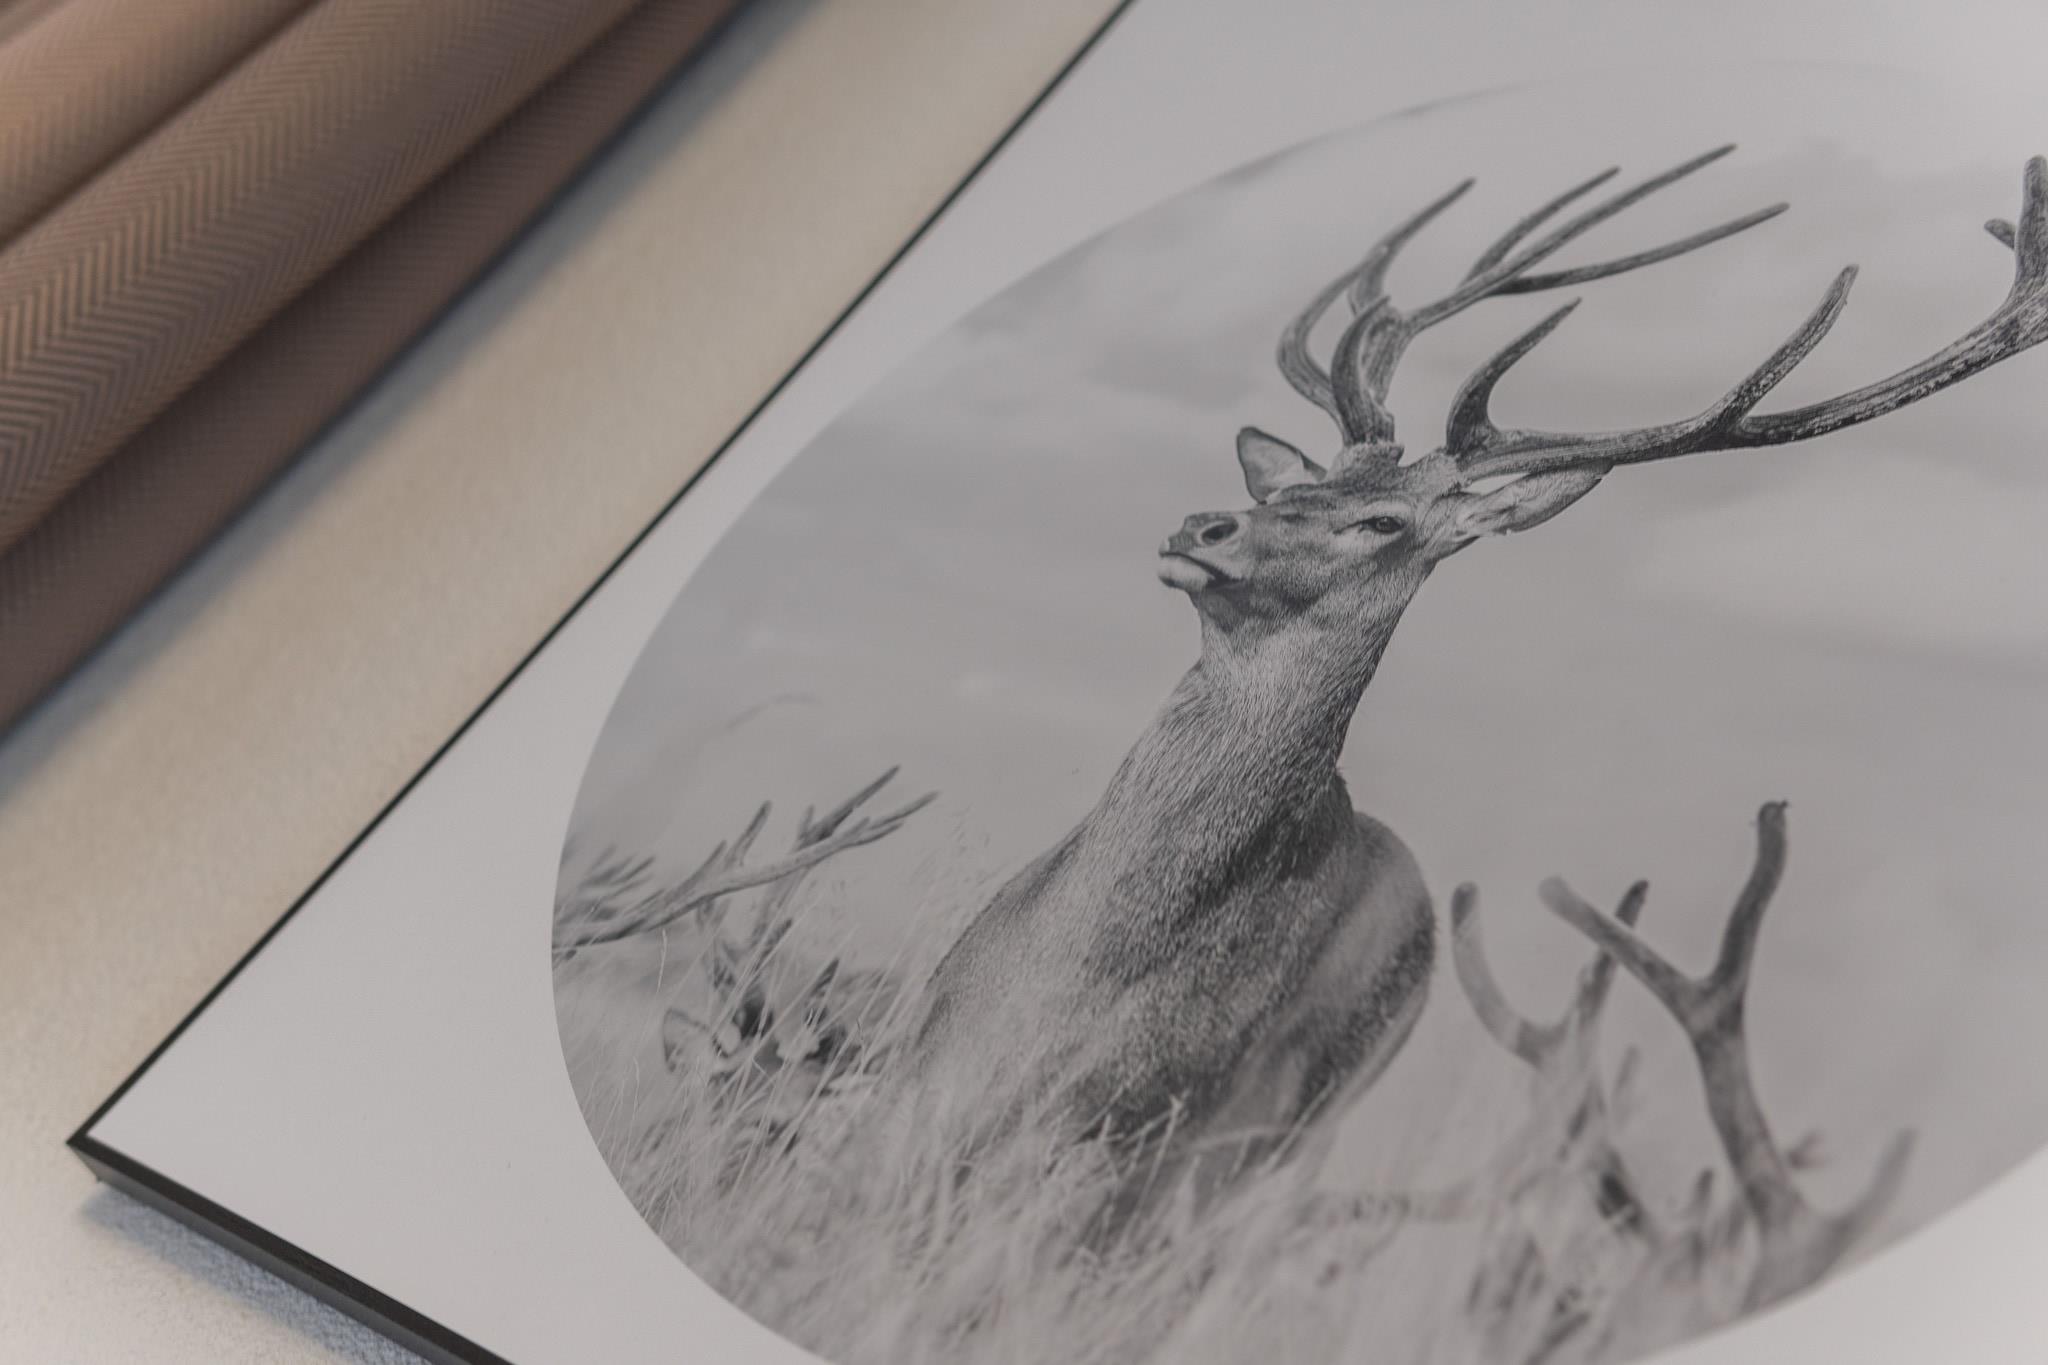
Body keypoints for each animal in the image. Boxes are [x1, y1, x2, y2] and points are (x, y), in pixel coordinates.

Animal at [887, 146, 2048, 1242]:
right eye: (1298, 483)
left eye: (1383, 523)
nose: (1202, 524)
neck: (1072, 987)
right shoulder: (928, 1074)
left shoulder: (1154, 1145)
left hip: (1290, 1136)